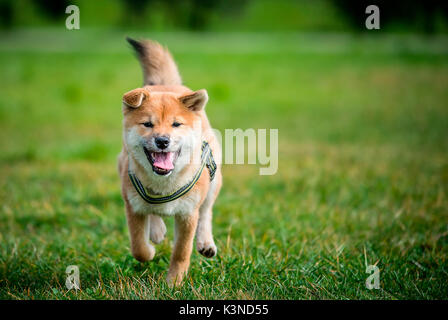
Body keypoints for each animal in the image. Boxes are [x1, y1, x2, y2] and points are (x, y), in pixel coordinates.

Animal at [117, 37, 222, 284]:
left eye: (176, 124)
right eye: (147, 124)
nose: (163, 141)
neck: (164, 185)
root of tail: (165, 85)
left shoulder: (188, 214)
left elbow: (182, 252)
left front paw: (174, 283)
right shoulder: (132, 207)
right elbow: (138, 247)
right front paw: (150, 251)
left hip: (214, 179)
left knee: (207, 212)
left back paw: (205, 242)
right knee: (154, 214)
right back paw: (156, 231)